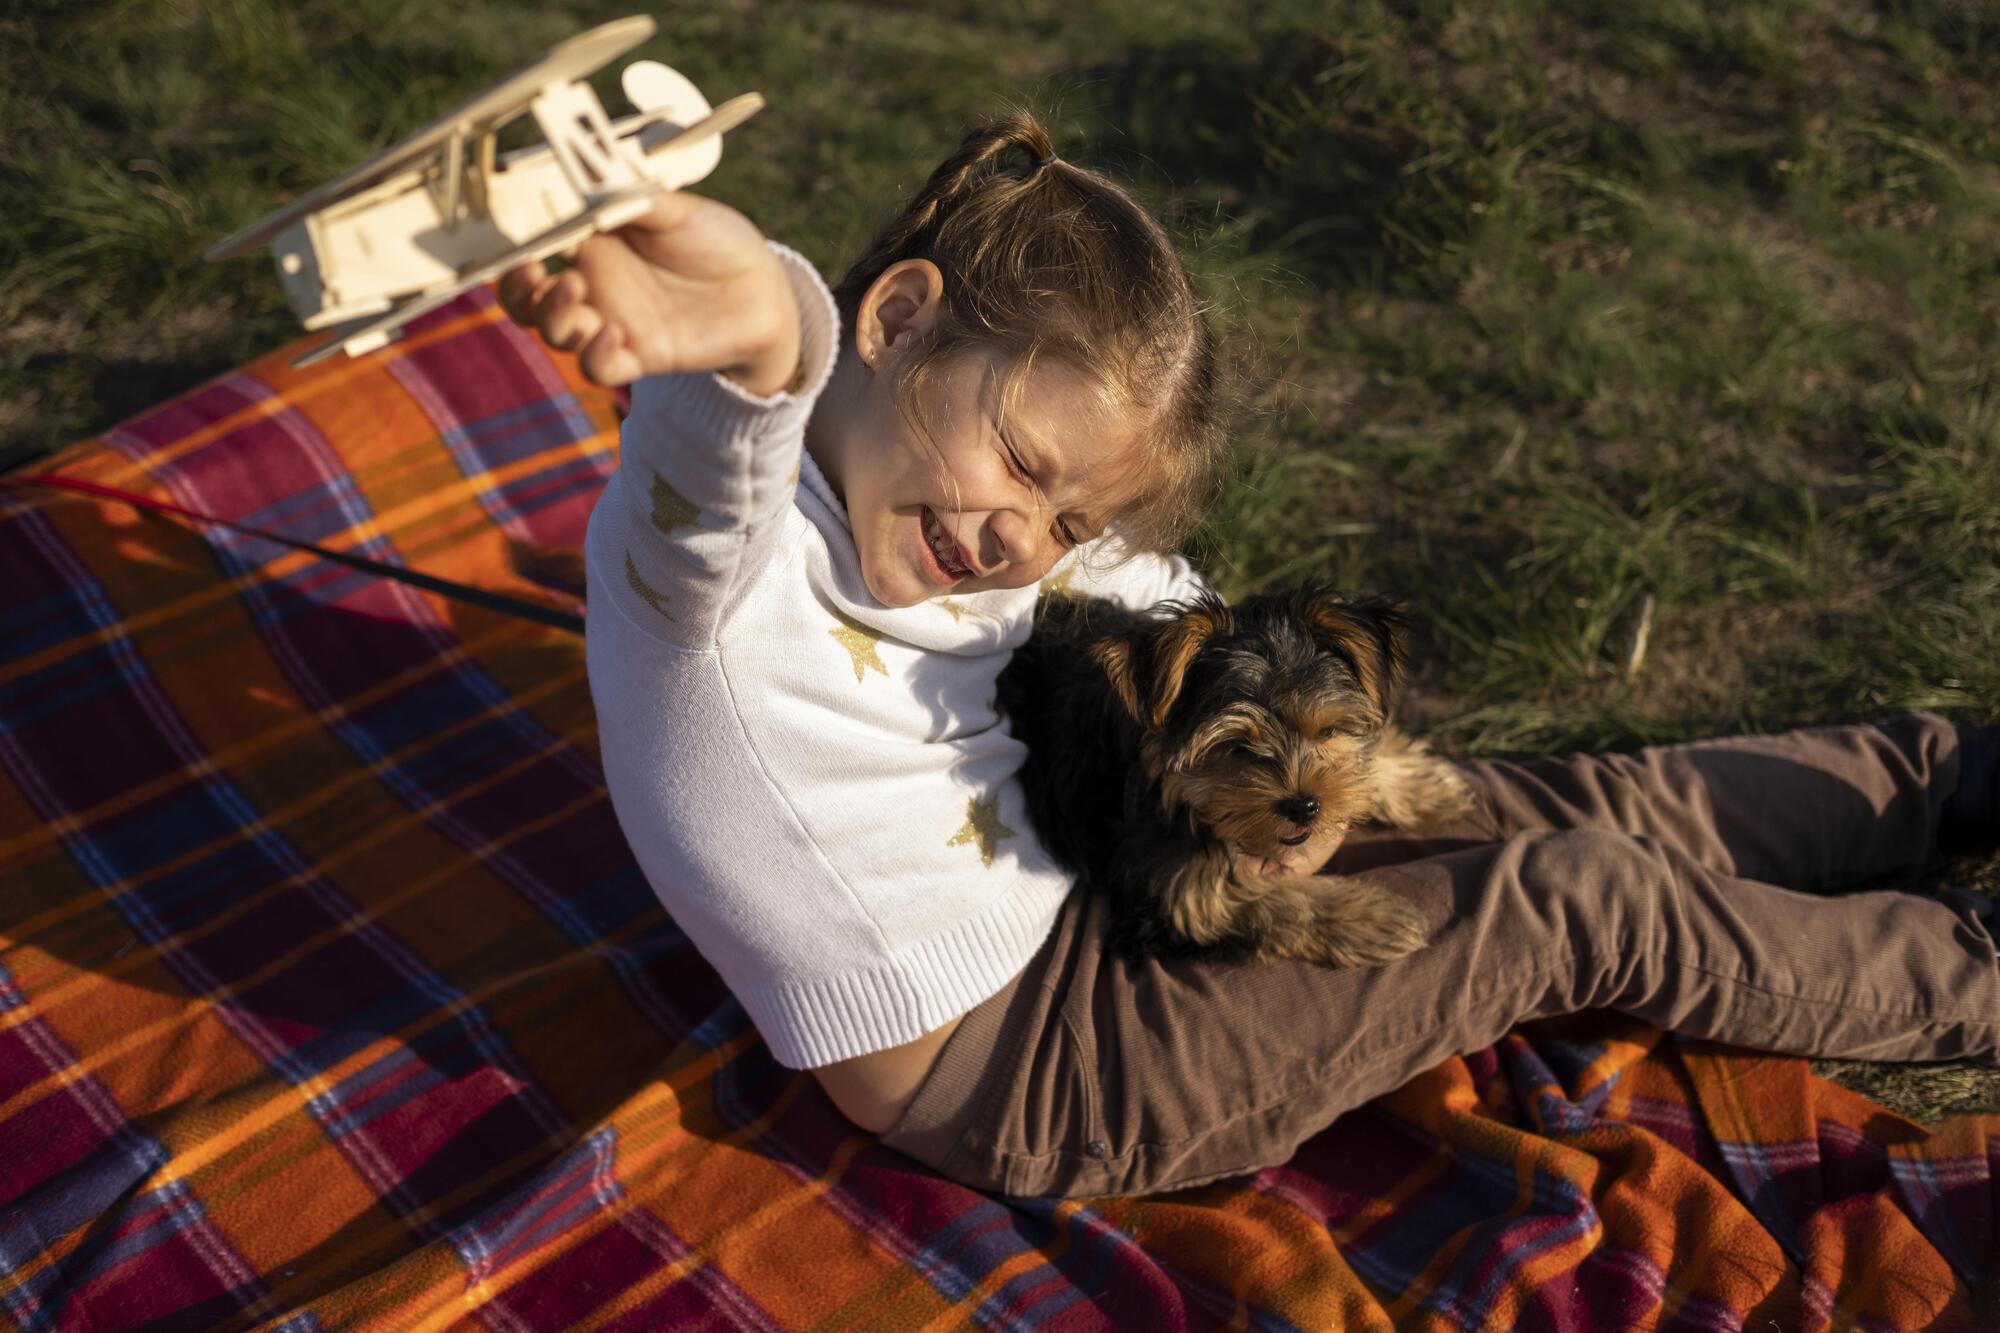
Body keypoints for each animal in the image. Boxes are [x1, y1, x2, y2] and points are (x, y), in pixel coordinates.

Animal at [996, 580, 1480, 964]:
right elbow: (1269, 904)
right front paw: (1373, 918)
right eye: (1236, 747)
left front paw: (1424, 787)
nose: (1304, 806)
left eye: (1328, 730)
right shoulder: (1170, 891)